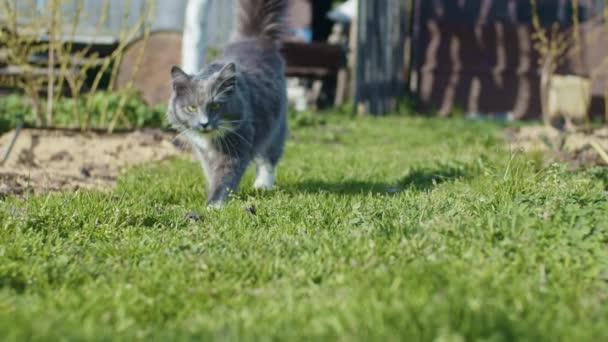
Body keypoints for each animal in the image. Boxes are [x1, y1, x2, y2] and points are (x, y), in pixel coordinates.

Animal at [166, 0, 290, 206]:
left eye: (215, 106)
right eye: (191, 108)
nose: (204, 123)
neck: (210, 140)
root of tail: (252, 38)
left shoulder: (236, 146)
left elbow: (224, 177)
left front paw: (214, 205)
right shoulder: (203, 152)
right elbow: (211, 174)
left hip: (276, 128)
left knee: (269, 159)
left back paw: (262, 186)